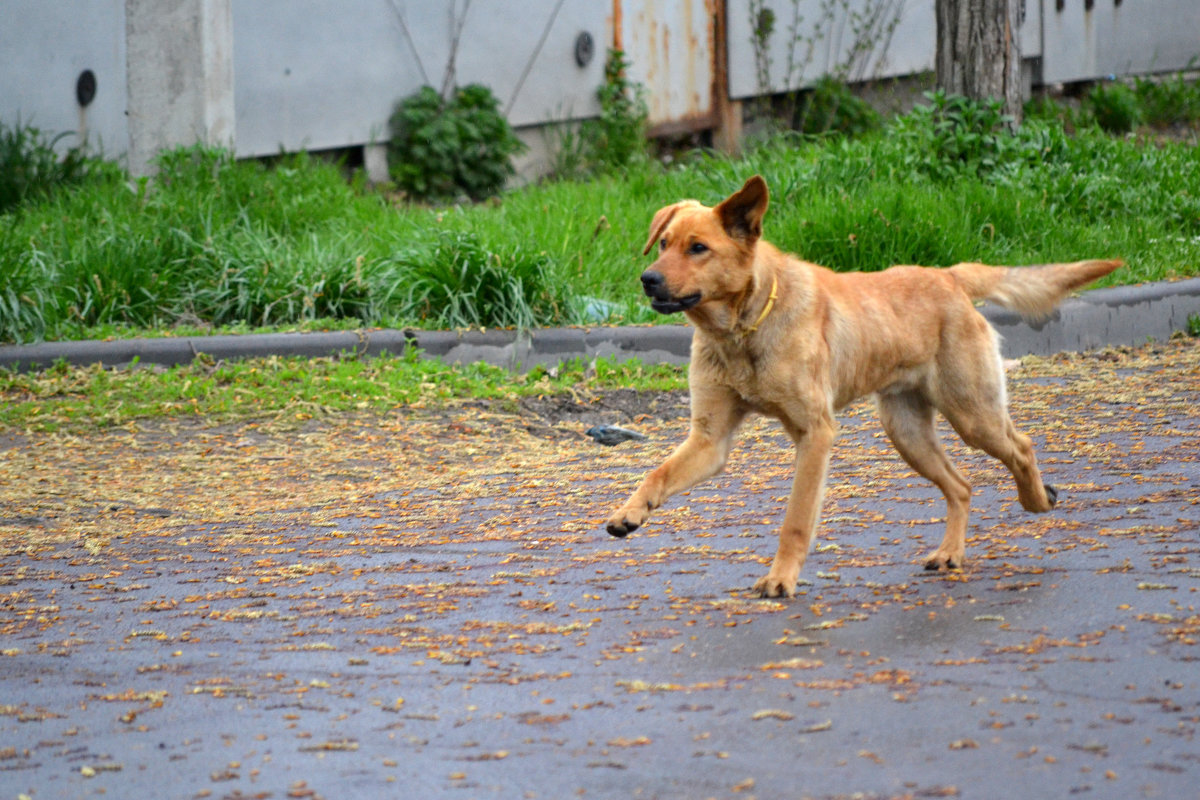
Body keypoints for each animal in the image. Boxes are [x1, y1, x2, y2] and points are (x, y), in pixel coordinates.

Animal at [604, 176, 1118, 599]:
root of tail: (948, 275)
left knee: (1022, 446)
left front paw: (781, 580)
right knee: (962, 485)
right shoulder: (709, 441)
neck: (743, 330)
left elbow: (795, 521)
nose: (647, 279)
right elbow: (656, 474)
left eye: (698, 248)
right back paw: (950, 552)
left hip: (973, 416)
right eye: (663, 243)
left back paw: (1037, 500)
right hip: (908, 434)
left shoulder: (815, 435)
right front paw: (630, 513)